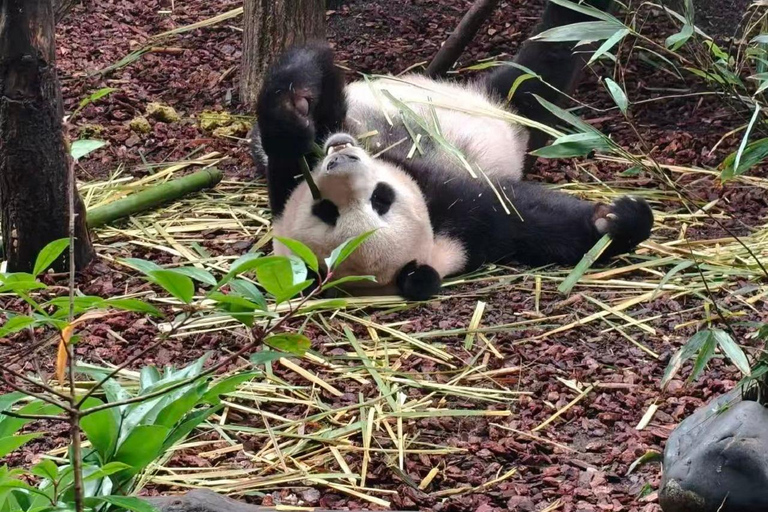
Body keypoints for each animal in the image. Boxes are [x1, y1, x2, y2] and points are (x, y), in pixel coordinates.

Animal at [250, 0, 654, 300]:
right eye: (328, 210)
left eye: (381, 199)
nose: (341, 158)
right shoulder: (463, 221)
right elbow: (523, 215)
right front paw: (613, 222)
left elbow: (291, 142)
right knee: (554, 53)